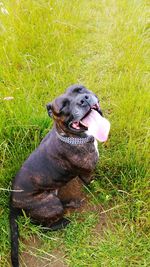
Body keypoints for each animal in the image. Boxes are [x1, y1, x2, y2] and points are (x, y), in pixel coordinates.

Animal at [9, 85, 103, 266]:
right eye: (64, 106)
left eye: (80, 89)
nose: (84, 99)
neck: (71, 137)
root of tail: (12, 204)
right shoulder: (88, 173)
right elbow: (95, 184)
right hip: (49, 204)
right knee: (43, 226)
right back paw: (64, 221)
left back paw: (72, 203)